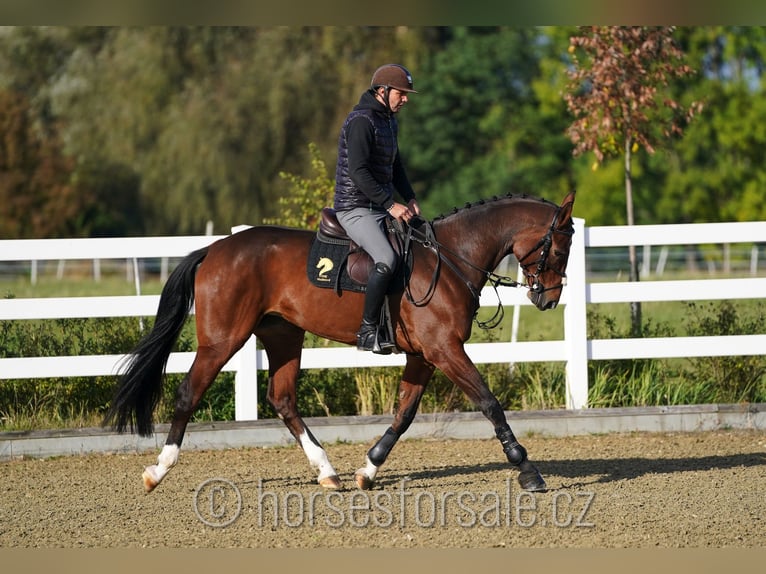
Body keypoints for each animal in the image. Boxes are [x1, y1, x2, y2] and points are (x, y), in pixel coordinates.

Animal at [103, 192, 576, 496]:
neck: (449, 257)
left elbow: (404, 414)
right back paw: (158, 470)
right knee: (189, 393)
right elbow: (489, 402)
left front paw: (369, 469)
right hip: (222, 340)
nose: (549, 299)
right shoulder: (445, 350)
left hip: (283, 335)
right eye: (560, 248)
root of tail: (216, 248)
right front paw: (527, 469)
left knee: (283, 398)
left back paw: (327, 471)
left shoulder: (425, 355)